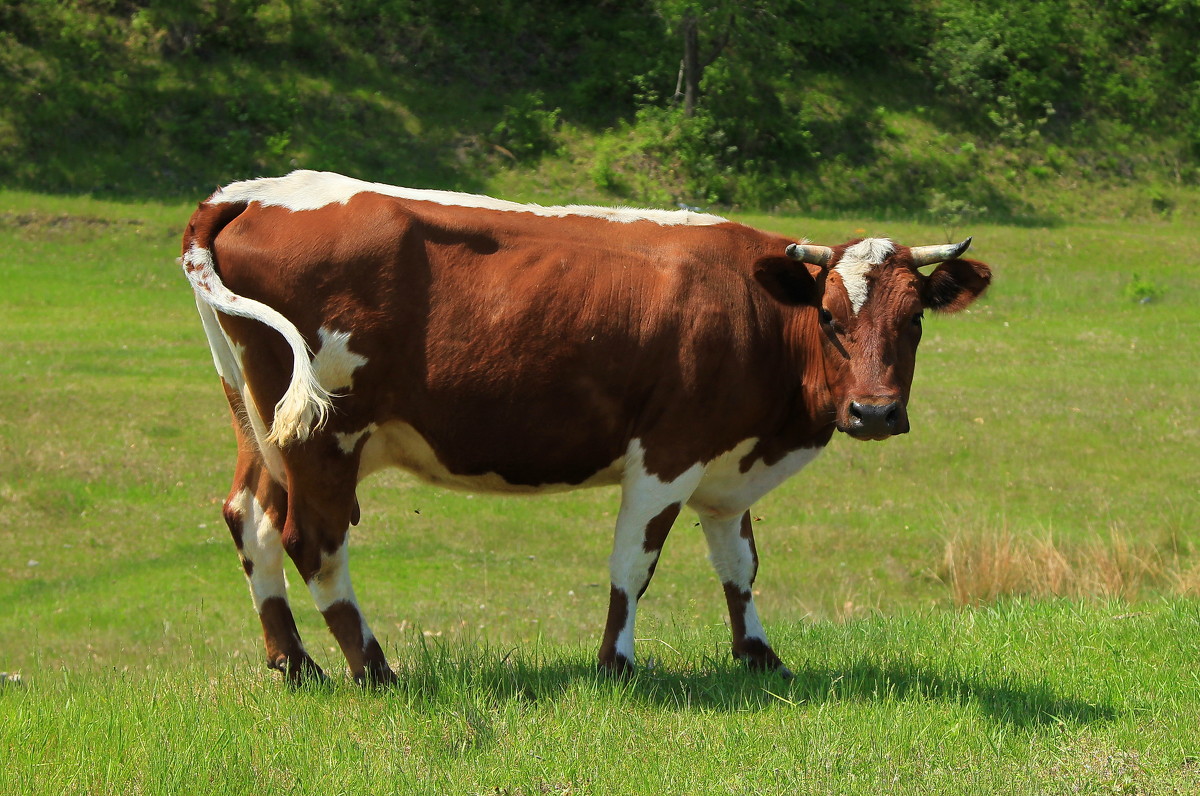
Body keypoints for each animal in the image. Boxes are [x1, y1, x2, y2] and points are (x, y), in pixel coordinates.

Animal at [180, 168, 993, 686]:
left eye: (914, 319)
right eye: (828, 316)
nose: (875, 411)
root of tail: (257, 191)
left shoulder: (727, 468)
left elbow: (739, 563)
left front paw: (760, 656)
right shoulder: (668, 451)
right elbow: (634, 563)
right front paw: (617, 665)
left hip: (264, 423)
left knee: (250, 518)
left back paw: (294, 664)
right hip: (327, 433)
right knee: (313, 541)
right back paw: (374, 669)